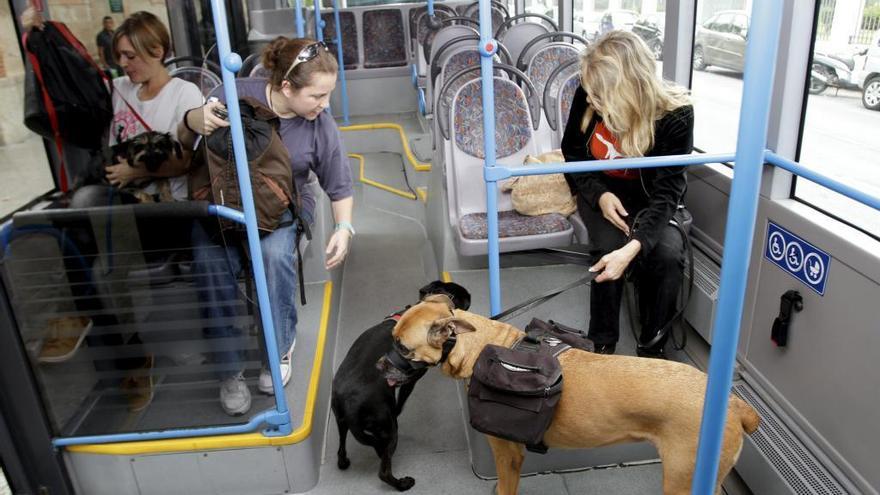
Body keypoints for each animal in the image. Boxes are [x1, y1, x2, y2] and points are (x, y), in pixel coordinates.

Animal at [330, 280, 470, 494]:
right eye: (458, 296)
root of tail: (350, 404)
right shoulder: (410, 380)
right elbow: (401, 402)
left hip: (341, 421)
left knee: (340, 448)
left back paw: (344, 461)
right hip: (388, 430)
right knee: (384, 471)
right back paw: (402, 484)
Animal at [382, 296, 760, 494]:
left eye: (403, 347)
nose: (377, 364)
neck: (479, 345)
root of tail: (734, 404)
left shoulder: (508, 456)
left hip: (684, 480)